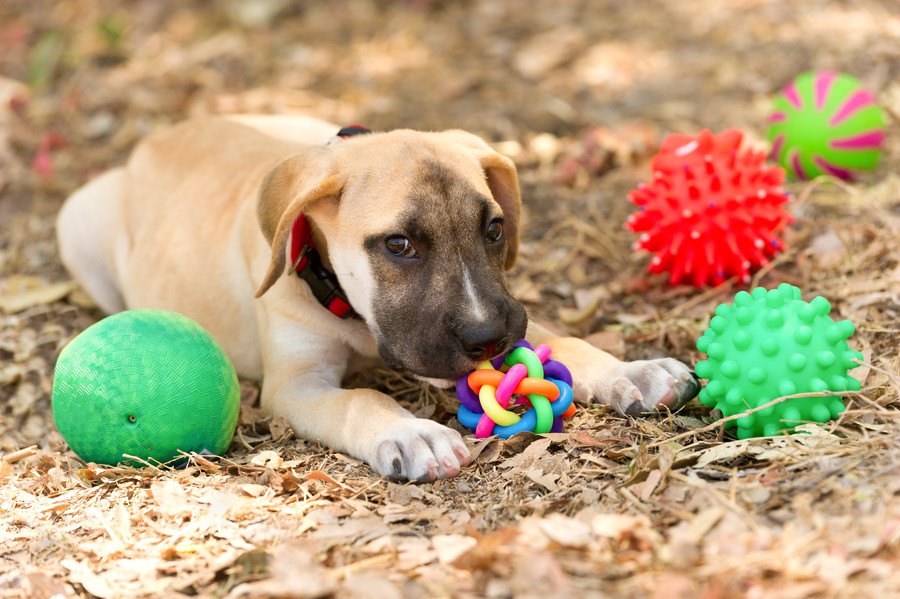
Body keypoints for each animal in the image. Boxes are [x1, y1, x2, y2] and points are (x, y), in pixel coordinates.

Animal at [56, 116, 700, 482]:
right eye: (398, 245)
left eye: (494, 229)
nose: (488, 339)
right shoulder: (295, 385)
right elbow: (360, 399)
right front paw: (413, 434)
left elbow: (565, 339)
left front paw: (632, 370)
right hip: (77, 220)